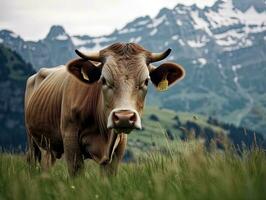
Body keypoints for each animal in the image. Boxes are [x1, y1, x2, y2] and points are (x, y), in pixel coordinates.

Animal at [24, 42, 185, 175]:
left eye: (146, 81)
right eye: (104, 80)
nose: (124, 117)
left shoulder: (119, 147)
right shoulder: (70, 139)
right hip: (32, 140)